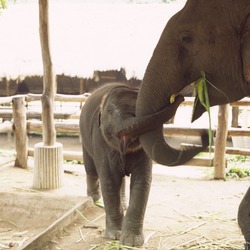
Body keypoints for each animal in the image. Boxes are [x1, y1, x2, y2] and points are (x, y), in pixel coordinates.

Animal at [80, 82, 184, 246]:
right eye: (110, 111)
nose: (180, 96)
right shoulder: (100, 141)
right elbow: (109, 181)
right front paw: (114, 236)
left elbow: (142, 182)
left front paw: (131, 242)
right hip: (85, 139)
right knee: (91, 170)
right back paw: (95, 199)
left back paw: (123, 204)